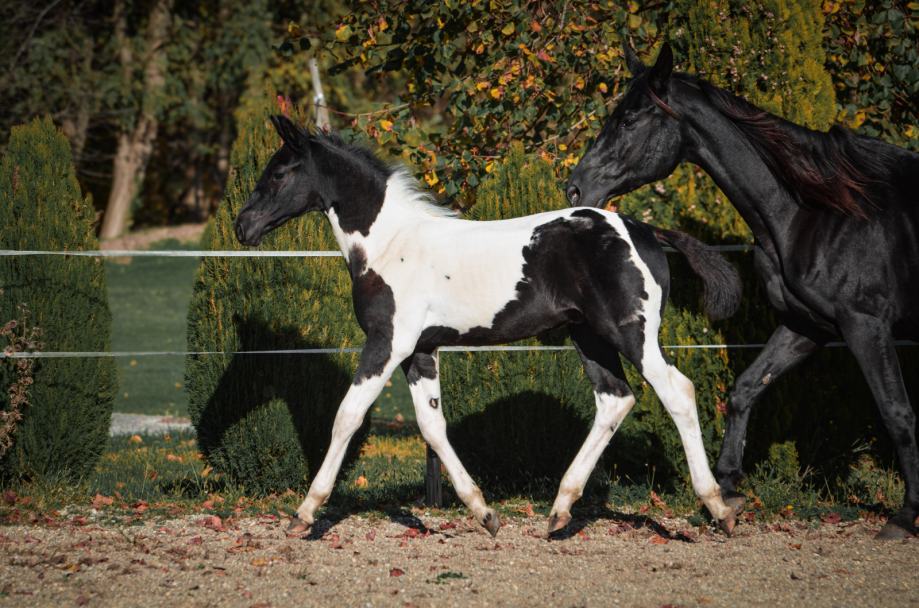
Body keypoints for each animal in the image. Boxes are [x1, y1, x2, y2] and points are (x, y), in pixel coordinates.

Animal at [234, 114, 742, 537]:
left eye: (279, 173)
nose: (243, 226)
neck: (390, 243)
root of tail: (644, 231)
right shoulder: (421, 352)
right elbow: (432, 426)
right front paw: (484, 513)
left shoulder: (388, 343)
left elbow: (348, 415)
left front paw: (304, 514)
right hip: (589, 337)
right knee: (615, 400)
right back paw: (559, 511)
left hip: (632, 334)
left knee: (677, 392)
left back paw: (718, 508)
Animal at [566, 43, 919, 539]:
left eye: (631, 119)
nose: (575, 188)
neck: (818, 213)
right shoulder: (808, 326)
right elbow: (745, 389)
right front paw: (727, 488)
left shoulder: (866, 326)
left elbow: (896, 413)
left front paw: (904, 517)